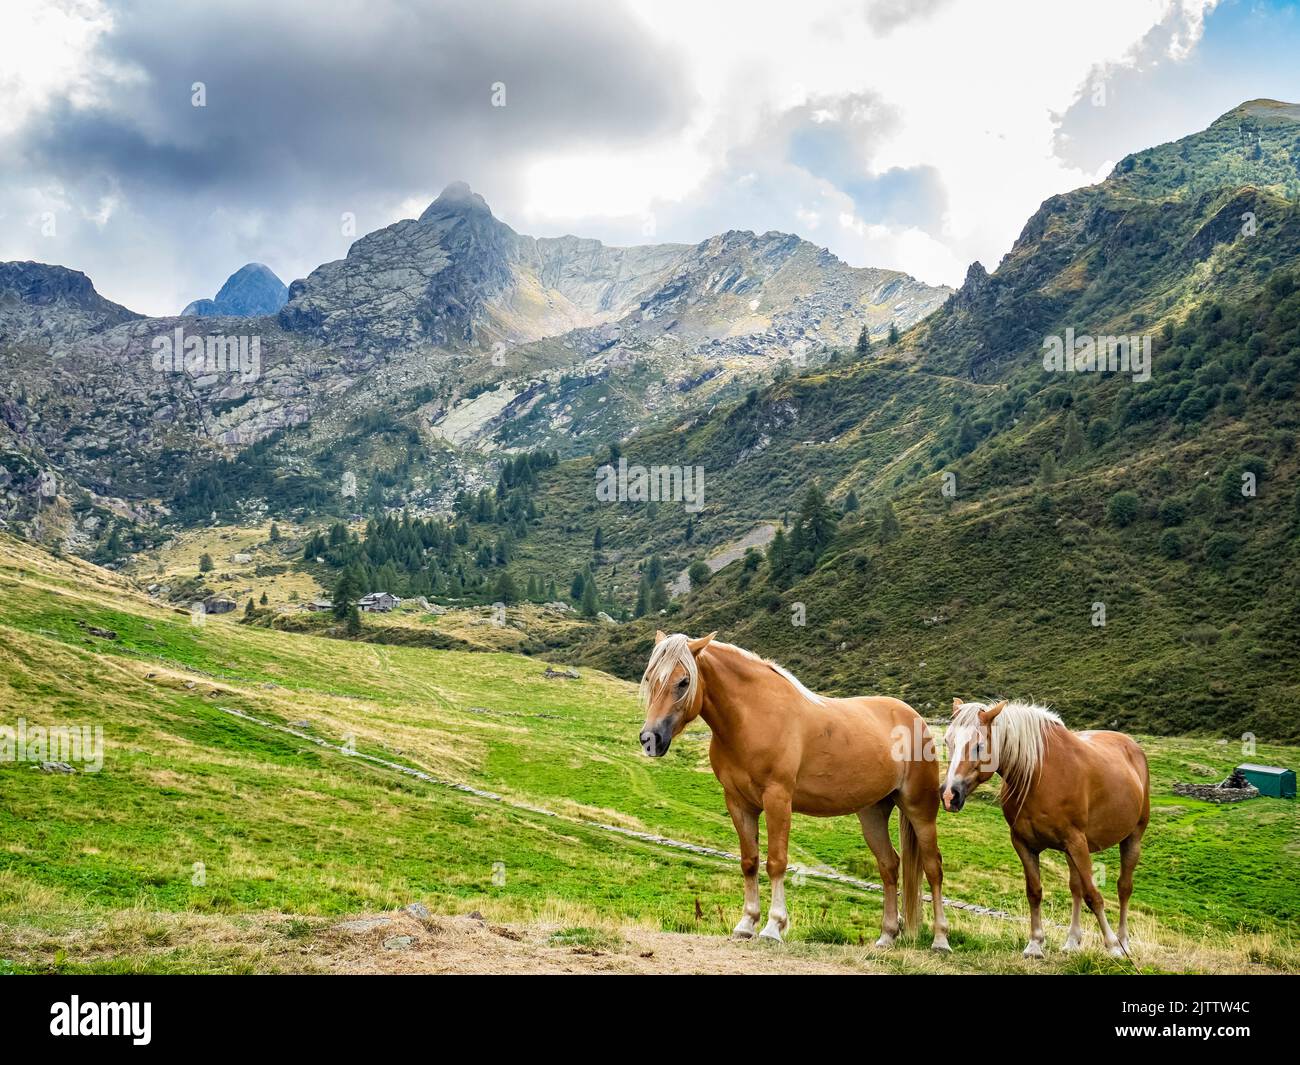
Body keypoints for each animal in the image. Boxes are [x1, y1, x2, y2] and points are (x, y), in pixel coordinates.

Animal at [637, 631, 951, 951]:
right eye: (649, 677)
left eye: (684, 681)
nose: (651, 738)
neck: (754, 716)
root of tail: (914, 717)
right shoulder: (738, 803)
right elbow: (749, 862)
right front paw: (746, 924)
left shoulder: (778, 799)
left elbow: (776, 862)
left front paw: (773, 926)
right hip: (873, 813)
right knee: (889, 866)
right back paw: (887, 936)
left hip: (920, 811)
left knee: (933, 868)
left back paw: (940, 940)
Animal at [941, 702, 1154, 957]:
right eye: (947, 741)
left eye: (979, 746)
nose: (949, 795)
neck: (1038, 775)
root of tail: (1132, 745)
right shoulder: (1024, 844)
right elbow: (1035, 892)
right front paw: (1035, 944)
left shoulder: (1076, 842)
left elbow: (1093, 896)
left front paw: (1112, 946)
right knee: (1075, 888)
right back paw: (1072, 942)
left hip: (1131, 838)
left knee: (1123, 888)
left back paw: (1123, 942)